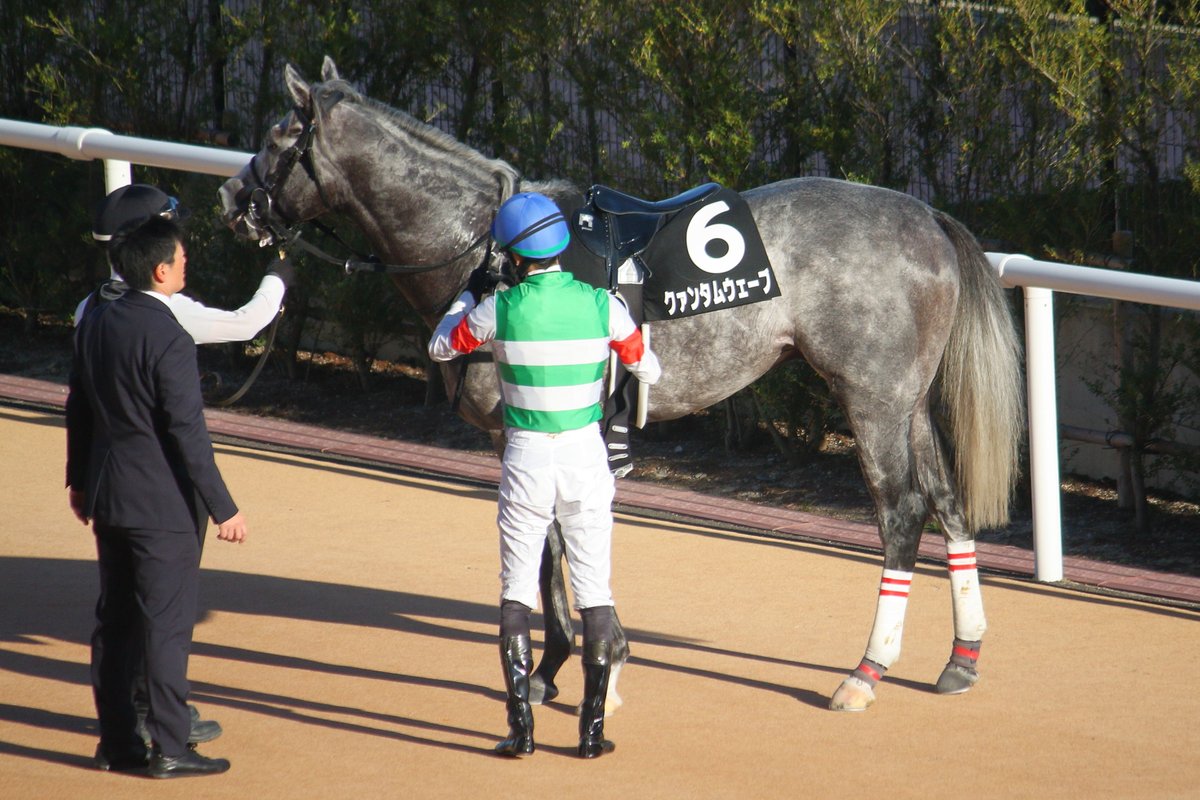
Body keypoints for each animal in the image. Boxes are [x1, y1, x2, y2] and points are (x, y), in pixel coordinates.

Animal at [218, 57, 1024, 713]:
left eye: (279, 135)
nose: (230, 196)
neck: (486, 245)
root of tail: (924, 215)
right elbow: (553, 545)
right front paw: (563, 664)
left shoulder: (530, 425)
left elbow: (548, 544)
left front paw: (568, 665)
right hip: (907, 402)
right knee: (948, 501)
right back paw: (963, 657)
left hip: (871, 400)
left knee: (901, 513)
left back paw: (866, 671)